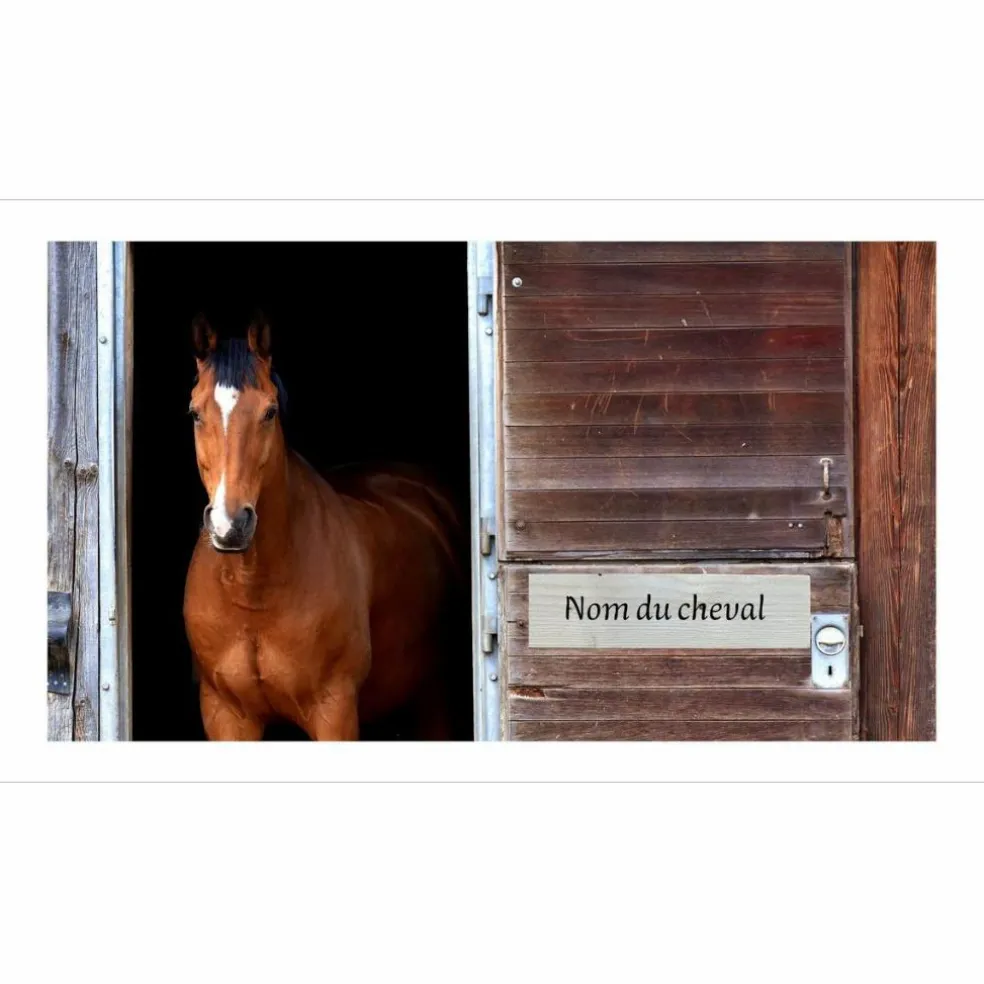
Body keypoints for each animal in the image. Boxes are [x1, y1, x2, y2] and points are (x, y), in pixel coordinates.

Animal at [181, 314, 466, 740]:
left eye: (269, 412)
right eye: (195, 413)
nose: (230, 525)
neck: (254, 592)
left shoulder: (335, 711)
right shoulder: (225, 714)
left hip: (433, 697)